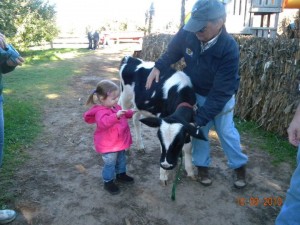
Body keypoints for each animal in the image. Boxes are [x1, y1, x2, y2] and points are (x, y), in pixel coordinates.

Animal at [119, 55, 206, 183]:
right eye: (160, 139)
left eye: (178, 142)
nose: (166, 165)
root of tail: (130, 58)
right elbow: (162, 149)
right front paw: (163, 175)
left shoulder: (189, 125)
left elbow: (188, 148)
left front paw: (190, 170)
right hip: (125, 97)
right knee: (123, 117)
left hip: (138, 104)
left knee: (136, 120)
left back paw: (140, 146)